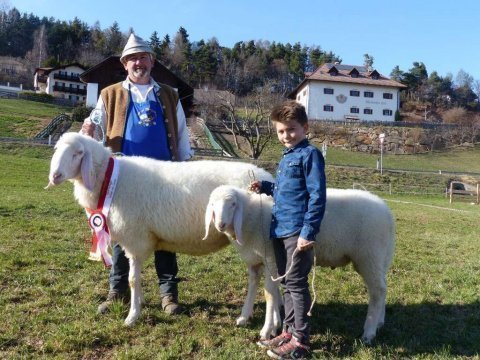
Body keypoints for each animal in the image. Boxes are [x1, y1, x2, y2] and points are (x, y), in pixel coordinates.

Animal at [47, 132, 282, 338]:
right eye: (56, 149)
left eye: (78, 153)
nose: (55, 176)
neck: (110, 178)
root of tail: (266, 178)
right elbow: (134, 277)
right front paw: (139, 303)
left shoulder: (136, 239)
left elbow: (132, 279)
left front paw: (132, 316)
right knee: (263, 278)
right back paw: (261, 319)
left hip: (259, 240)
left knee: (268, 281)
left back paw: (270, 324)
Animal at [202, 186, 394, 344]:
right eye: (212, 204)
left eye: (233, 204)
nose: (220, 224)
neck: (252, 216)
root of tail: (386, 211)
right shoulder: (257, 262)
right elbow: (256, 288)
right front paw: (247, 317)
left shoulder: (271, 259)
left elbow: (269, 293)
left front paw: (267, 329)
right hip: (380, 257)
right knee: (384, 288)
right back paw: (380, 322)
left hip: (369, 255)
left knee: (377, 291)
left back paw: (368, 332)